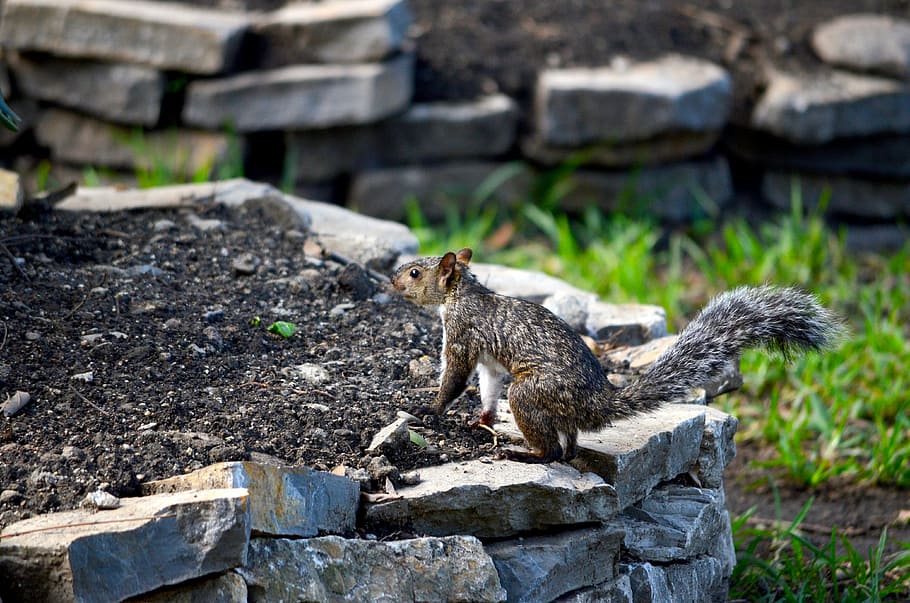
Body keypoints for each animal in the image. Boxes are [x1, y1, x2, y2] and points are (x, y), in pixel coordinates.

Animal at [391, 248, 843, 464]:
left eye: (415, 272)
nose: (392, 280)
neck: (461, 293)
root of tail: (598, 402)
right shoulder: (488, 360)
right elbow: (486, 387)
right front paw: (482, 419)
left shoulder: (462, 337)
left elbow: (455, 377)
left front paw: (430, 409)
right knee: (568, 447)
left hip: (531, 393)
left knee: (552, 451)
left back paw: (523, 453)